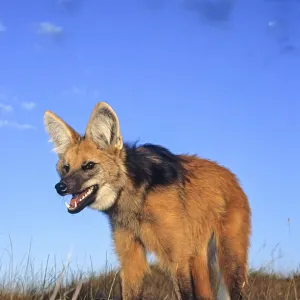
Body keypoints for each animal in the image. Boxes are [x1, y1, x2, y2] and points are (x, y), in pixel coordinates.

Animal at [44, 101, 251, 300]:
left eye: (89, 165)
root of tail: (232, 177)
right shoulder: (131, 259)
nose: (60, 187)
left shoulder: (177, 257)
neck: (137, 201)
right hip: (198, 257)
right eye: (66, 168)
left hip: (228, 260)